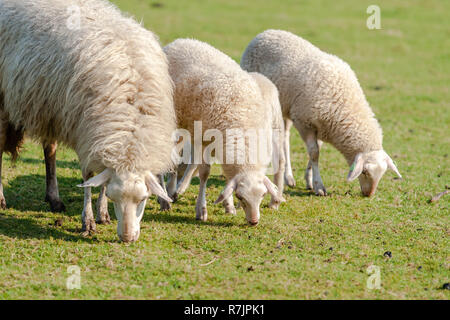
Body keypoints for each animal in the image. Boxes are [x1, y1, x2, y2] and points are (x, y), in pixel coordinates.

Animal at [0, 0, 176, 240]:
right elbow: (88, 177)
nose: (127, 238)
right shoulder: (85, 131)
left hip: (50, 108)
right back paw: (1, 199)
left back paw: (54, 198)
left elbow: (100, 178)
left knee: (50, 150)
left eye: (143, 199)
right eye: (114, 198)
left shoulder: (100, 137)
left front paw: (102, 213)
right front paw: (88, 221)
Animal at [160, 38, 284, 225]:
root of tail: (180, 41)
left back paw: (170, 192)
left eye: (263, 195)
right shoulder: (205, 139)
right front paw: (201, 210)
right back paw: (164, 198)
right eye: (241, 197)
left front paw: (229, 206)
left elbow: (227, 177)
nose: (254, 222)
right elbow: (204, 174)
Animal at [241, 28, 402, 196]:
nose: (368, 195)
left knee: (284, 137)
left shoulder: (322, 126)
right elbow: (314, 153)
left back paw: (289, 177)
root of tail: (266, 32)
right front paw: (319, 186)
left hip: (284, 105)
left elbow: (316, 151)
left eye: (381, 175)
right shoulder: (304, 122)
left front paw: (309, 180)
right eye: (364, 172)